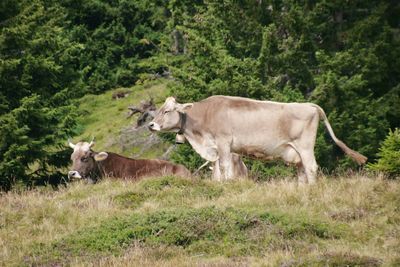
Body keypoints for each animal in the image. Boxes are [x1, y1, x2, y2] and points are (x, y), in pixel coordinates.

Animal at [148, 96, 368, 184]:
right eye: (158, 109)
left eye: (167, 111)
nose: (151, 125)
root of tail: (310, 105)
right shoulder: (217, 149)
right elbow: (219, 170)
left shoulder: (224, 143)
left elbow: (225, 168)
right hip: (295, 151)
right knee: (302, 170)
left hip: (305, 146)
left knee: (312, 167)